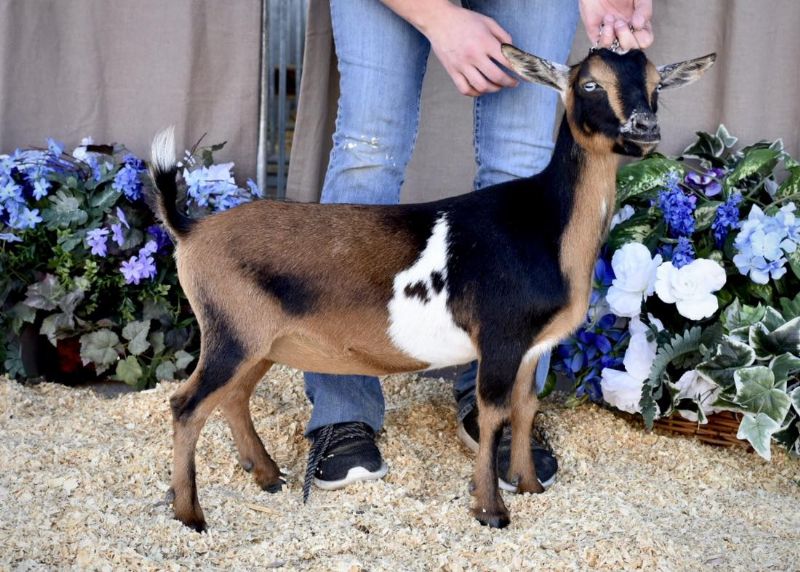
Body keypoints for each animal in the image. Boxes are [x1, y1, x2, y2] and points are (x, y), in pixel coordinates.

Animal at [150, 45, 720, 532]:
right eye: (590, 84)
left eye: (656, 84)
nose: (644, 126)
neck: (545, 226)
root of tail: (190, 230)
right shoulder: (500, 339)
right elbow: (493, 415)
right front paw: (491, 511)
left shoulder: (533, 347)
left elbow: (524, 409)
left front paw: (530, 487)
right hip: (233, 332)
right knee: (186, 405)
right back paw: (190, 515)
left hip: (259, 341)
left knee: (232, 396)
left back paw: (267, 476)